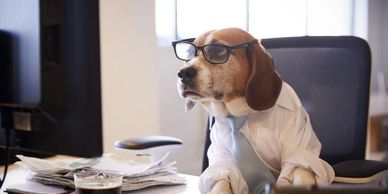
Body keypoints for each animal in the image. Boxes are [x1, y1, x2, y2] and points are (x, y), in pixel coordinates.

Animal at [174, 28, 334, 193]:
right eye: (189, 53)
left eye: (218, 50)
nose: (183, 73)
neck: (243, 114)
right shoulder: (223, 164)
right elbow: (221, 182)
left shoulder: (299, 155)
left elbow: (300, 171)